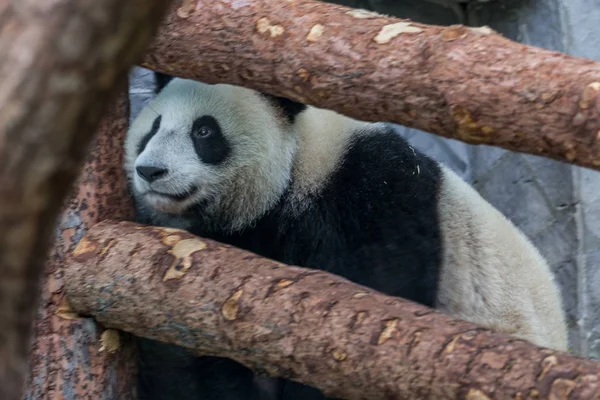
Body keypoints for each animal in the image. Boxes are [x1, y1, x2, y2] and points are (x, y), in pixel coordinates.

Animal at [125, 73, 568, 398]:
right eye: (153, 128)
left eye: (204, 131)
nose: (150, 171)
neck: (298, 165)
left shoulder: (370, 190)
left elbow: (379, 298)